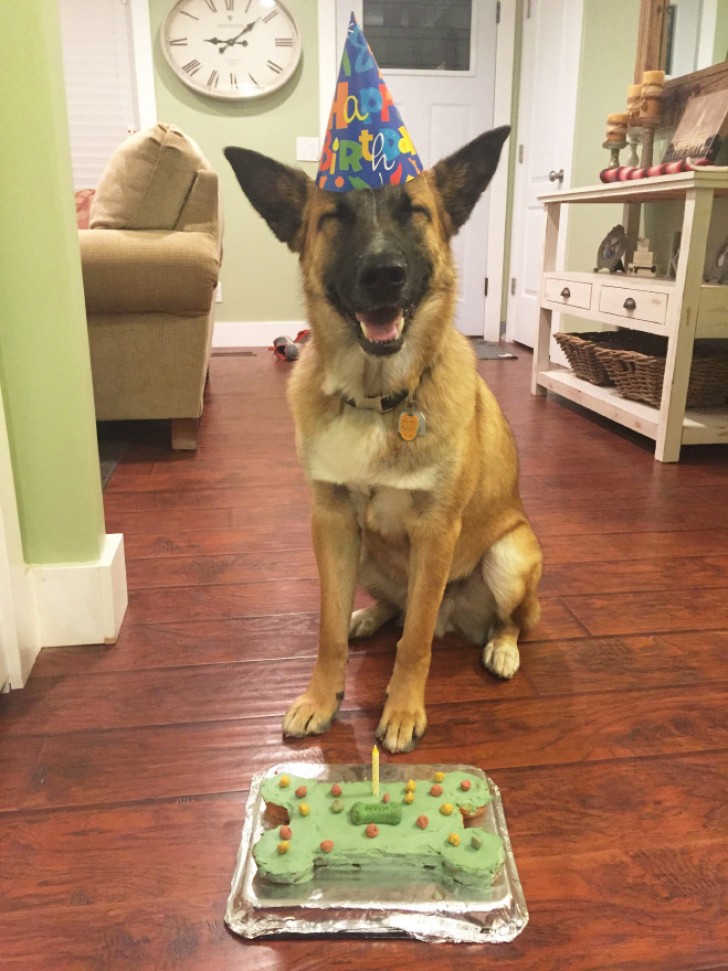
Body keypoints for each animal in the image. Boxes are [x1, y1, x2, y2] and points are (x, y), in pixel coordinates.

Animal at [226, 127, 540, 752]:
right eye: (334, 217)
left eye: (414, 212)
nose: (383, 273)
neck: (376, 399)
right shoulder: (330, 523)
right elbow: (328, 629)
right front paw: (321, 698)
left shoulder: (437, 533)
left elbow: (414, 641)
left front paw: (401, 711)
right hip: (365, 551)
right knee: (391, 605)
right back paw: (367, 617)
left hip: (510, 557)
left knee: (505, 619)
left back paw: (501, 647)